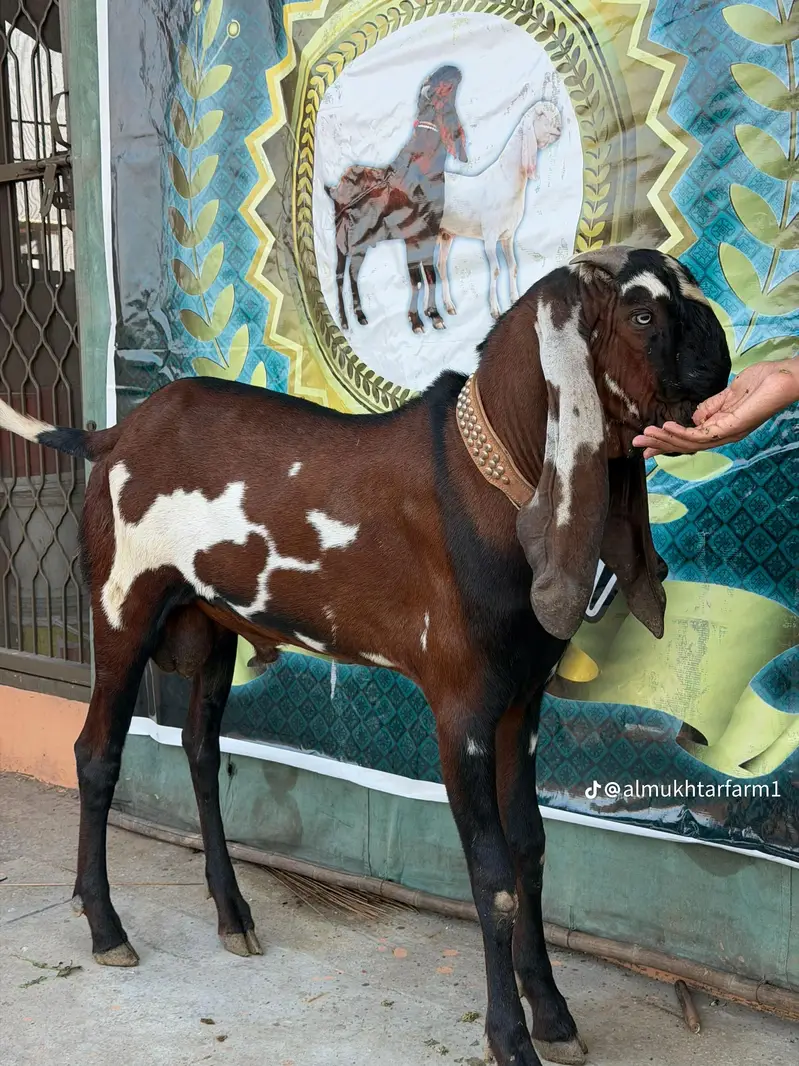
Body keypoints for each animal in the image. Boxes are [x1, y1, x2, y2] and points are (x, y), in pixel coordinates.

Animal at [0, 247, 730, 1066]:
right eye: (641, 314)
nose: (721, 359)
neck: (483, 483)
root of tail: (114, 435)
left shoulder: (522, 701)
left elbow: (531, 850)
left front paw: (553, 1014)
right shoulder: (461, 713)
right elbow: (492, 873)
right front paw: (510, 1036)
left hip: (213, 627)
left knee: (199, 752)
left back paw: (232, 914)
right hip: (122, 609)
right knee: (96, 754)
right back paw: (105, 927)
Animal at [324, 64, 467, 335]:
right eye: (441, 87)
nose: (452, 68)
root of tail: (334, 189)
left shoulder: (428, 236)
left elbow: (430, 276)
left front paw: (434, 315)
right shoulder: (411, 239)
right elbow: (416, 281)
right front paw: (417, 321)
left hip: (359, 247)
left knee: (353, 274)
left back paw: (361, 316)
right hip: (342, 245)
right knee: (339, 277)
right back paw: (346, 322)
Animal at [438, 100, 562, 321]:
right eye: (540, 114)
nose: (559, 128)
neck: (505, 178)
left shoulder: (508, 235)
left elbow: (513, 267)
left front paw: (515, 299)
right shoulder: (489, 236)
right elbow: (496, 270)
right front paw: (495, 311)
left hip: (446, 234)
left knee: (442, 267)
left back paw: (449, 306)